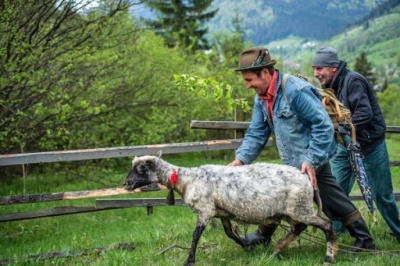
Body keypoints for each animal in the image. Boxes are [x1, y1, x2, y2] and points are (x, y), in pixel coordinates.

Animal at [125, 152, 338, 266]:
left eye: (141, 169)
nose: (126, 183)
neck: (186, 179)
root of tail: (307, 178)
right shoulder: (221, 212)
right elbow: (229, 233)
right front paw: (248, 247)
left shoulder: (205, 210)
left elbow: (195, 236)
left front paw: (189, 260)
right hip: (291, 211)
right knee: (299, 227)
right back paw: (277, 249)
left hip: (299, 207)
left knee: (327, 226)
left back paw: (328, 257)